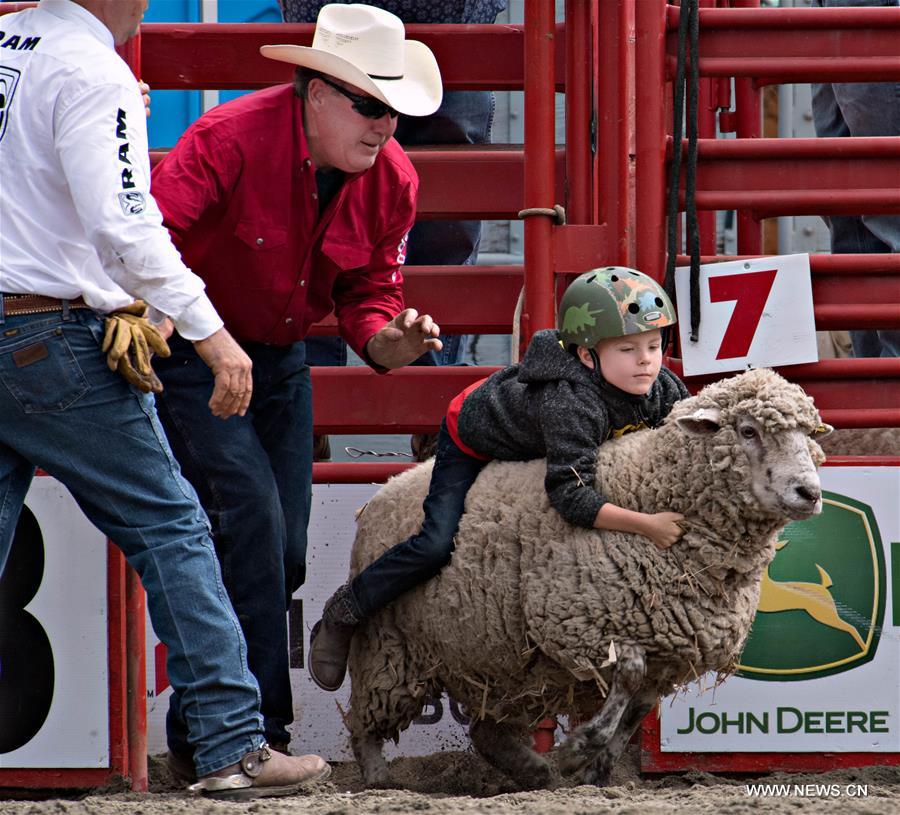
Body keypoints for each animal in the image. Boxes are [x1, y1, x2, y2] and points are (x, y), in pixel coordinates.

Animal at [342, 370, 828, 792]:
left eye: (808, 436)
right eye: (748, 431)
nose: (810, 493)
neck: (648, 487)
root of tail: (385, 489)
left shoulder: (666, 652)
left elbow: (635, 712)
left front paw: (597, 771)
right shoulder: (581, 626)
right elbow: (628, 678)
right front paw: (577, 750)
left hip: (500, 661)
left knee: (485, 730)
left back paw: (533, 771)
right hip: (390, 648)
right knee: (365, 722)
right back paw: (379, 777)